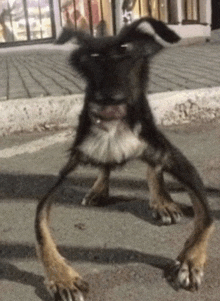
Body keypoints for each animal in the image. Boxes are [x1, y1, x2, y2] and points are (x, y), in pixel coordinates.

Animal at [35, 17, 214, 298]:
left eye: (126, 51)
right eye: (92, 57)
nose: (109, 97)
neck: (113, 127)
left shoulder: (176, 159)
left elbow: (206, 217)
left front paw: (190, 261)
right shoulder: (73, 161)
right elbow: (40, 225)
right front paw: (61, 277)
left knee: (153, 167)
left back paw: (162, 201)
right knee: (106, 167)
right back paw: (100, 189)